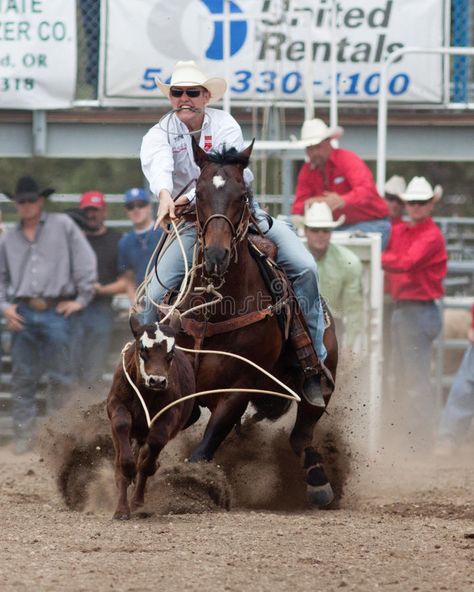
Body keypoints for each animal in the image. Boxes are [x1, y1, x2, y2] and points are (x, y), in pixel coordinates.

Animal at [176, 141, 338, 506]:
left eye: (241, 195)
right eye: (198, 192)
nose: (216, 255)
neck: (215, 309)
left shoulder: (238, 389)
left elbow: (203, 448)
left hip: (319, 383)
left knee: (301, 434)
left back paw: (319, 483)